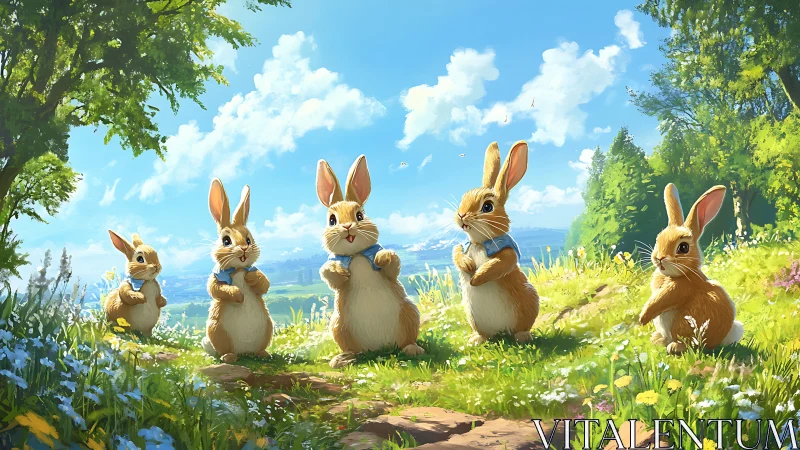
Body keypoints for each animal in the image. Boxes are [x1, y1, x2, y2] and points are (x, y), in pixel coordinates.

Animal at [200, 178, 273, 364]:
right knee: (225, 349)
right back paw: (228, 357)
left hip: (268, 325)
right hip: (216, 329)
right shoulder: (216, 278)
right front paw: (238, 295)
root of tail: (244, 351)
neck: (239, 270)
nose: (244, 249)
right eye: (226, 241)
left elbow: (264, 283)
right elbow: (216, 288)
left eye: (248, 240)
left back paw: (263, 354)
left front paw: (251, 278)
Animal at [316, 155, 425, 368]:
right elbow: (332, 276)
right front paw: (338, 269)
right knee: (352, 349)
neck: (357, 254)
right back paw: (343, 359)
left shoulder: (390, 274)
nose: (347, 227)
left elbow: (392, 266)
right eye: (332, 220)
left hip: (409, 312)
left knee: (407, 339)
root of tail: (378, 348)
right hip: (339, 325)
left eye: (360, 215)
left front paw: (382, 256)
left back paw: (412, 349)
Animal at [452, 141, 540, 346]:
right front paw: (468, 265)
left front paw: (476, 278)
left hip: (529, 302)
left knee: (521, 328)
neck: (480, 243)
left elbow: (500, 263)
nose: (461, 215)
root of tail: (502, 332)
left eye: (487, 206)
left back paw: (522, 337)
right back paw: (477, 339)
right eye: (463, 199)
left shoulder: (508, 252)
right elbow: (457, 253)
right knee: (485, 334)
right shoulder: (464, 246)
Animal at [639, 183, 744, 355]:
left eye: (683, 247)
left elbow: (661, 299)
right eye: (658, 239)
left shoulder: (682, 287)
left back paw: (674, 346)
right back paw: (657, 339)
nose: (659, 258)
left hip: (682, 324)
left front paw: (642, 318)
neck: (676, 274)